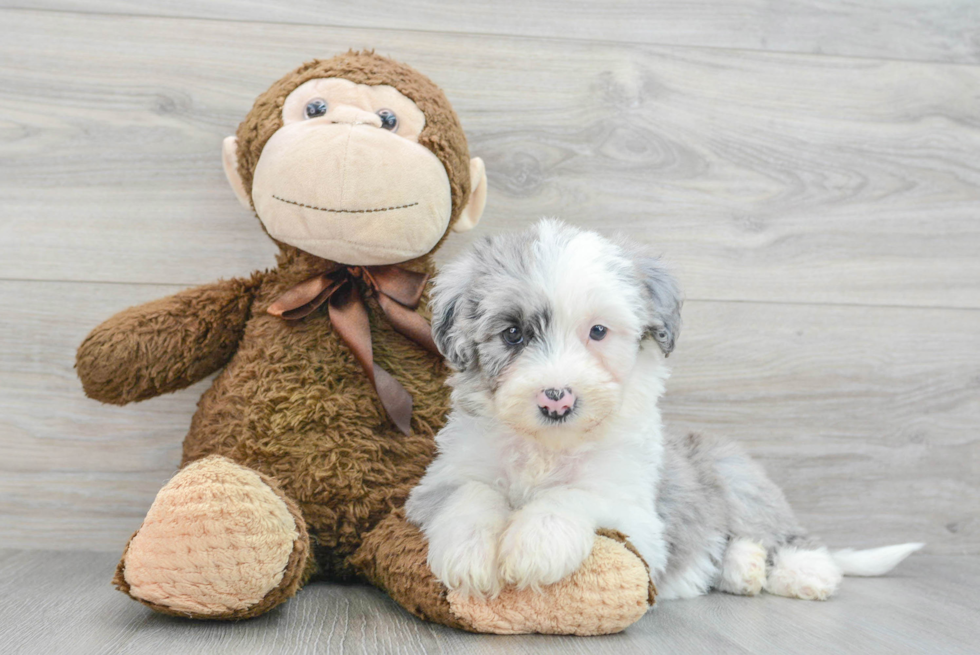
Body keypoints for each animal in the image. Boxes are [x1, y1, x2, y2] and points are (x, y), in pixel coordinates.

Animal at [404, 220, 920, 604]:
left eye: (598, 331)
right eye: (513, 334)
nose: (557, 398)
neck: (548, 448)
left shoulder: (639, 518)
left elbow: (577, 494)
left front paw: (537, 544)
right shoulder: (440, 480)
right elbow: (468, 494)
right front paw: (469, 554)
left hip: (737, 475)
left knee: (788, 535)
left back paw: (804, 574)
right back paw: (742, 568)